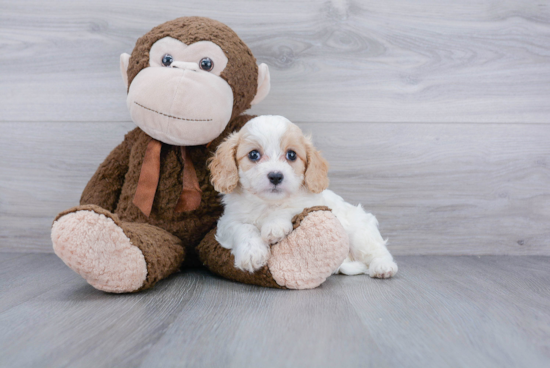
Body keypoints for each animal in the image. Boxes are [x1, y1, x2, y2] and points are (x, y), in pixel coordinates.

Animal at [209, 116, 398, 278]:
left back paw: (383, 267)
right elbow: (244, 228)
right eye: (254, 154)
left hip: (360, 233)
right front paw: (251, 252)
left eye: (291, 155)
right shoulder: (227, 222)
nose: (276, 176)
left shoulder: (308, 204)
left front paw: (274, 225)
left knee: (378, 250)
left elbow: (290, 208)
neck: (268, 203)